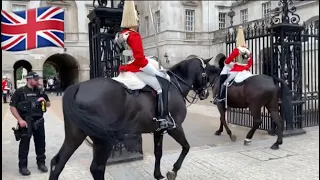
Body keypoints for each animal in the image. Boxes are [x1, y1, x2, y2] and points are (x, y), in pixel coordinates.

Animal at [48, 58, 218, 180]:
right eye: (206, 75)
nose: (205, 94)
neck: (174, 86)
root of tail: (78, 86)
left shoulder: (159, 130)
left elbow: (158, 153)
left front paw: (158, 175)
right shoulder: (175, 127)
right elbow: (186, 147)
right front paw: (173, 171)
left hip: (75, 135)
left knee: (58, 162)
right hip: (103, 140)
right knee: (97, 168)